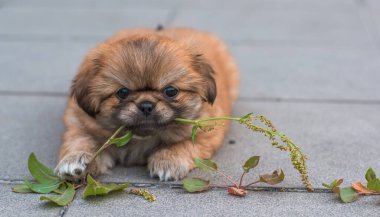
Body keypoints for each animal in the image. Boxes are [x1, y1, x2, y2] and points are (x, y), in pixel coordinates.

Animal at [55, 28, 239, 182]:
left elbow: (186, 143)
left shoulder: (207, 130)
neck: (140, 140)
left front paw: (169, 159)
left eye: (170, 91)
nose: (146, 105)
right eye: (122, 92)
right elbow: (80, 139)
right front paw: (75, 160)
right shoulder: (78, 122)